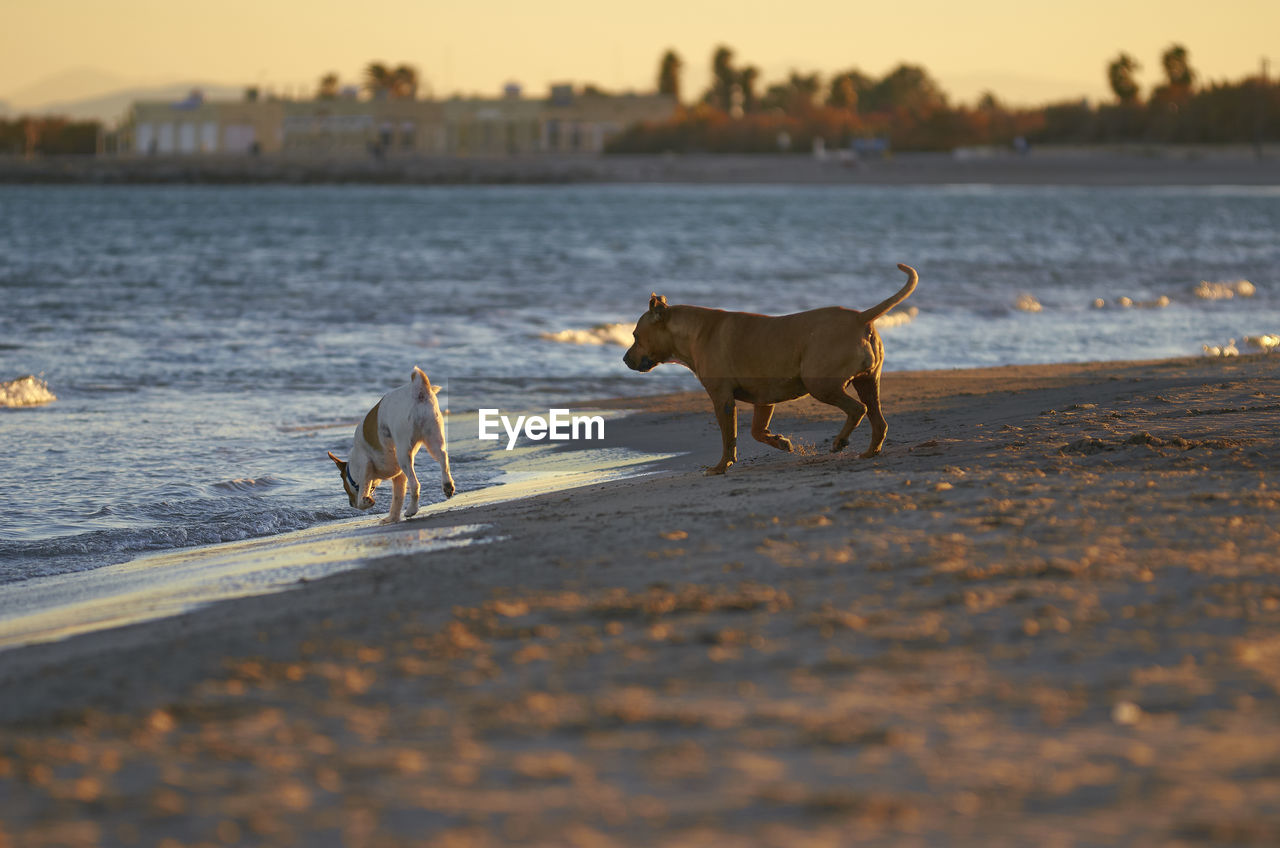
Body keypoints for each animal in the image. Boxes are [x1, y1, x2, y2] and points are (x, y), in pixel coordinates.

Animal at [327, 366, 458, 525]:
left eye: (344, 485)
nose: (350, 504)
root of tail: (418, 391)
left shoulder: (365, 467)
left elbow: (364, 492)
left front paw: (366, 501)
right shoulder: (399, 477)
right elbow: (397, 497)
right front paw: (392, 518)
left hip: (404, 454)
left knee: (415, 485)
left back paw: (412, 510)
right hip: (433, 438)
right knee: (443, 457)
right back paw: (447, 485)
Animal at [622, 262, 916, 473]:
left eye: (635, 335)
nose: (624, 360)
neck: (692, 332)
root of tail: (859, 317)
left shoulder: (722, 399)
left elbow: (729, 437)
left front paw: (721, 467)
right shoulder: (764, 400)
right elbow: (756, 432)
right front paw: (780, 442)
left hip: (821, 385)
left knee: (857, 409)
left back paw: (841, 441)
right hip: (867, 382)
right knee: (878, 420)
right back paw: (870, 451)